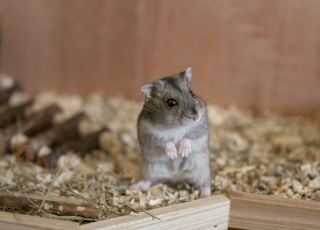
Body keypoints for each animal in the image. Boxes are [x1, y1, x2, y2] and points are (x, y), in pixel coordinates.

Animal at [131, 67, 211, 198]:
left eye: (191, 92)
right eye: (171, 103)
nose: (195, 116)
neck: (176, 126)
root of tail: (176, 177)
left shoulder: (200, 129)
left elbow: (187, 138)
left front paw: (182, 152)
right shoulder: (150, 135)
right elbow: (166, 142)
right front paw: (173, 154)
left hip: (201, 169)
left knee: (205, 183)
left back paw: (206, 196)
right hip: (150, 168)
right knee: (148, 180)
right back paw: (134, 187)